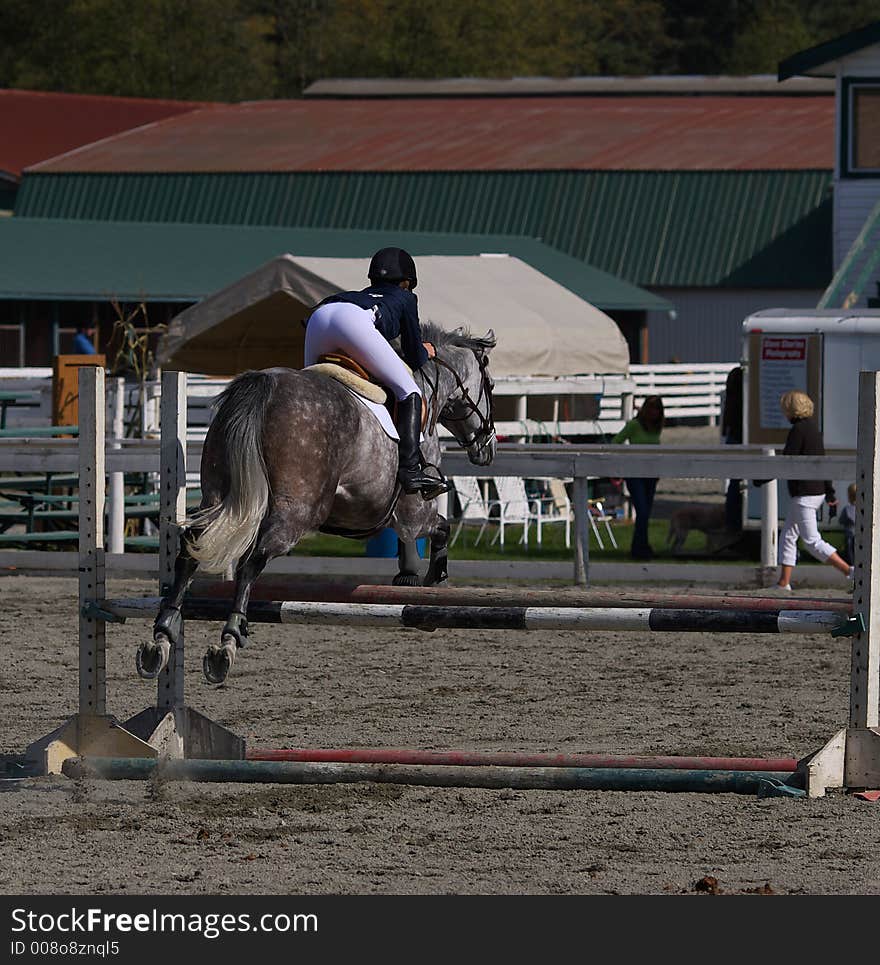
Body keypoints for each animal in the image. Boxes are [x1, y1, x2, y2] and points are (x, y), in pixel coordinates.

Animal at [137, 324, 496, 684]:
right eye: (490, 386)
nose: (487, 448)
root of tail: (264, 385)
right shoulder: (412, 516)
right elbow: (441, 528)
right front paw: (436, 583)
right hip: (296, 512)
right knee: (252, 560)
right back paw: (229, 640)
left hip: (217, 495)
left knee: (192, 546)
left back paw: (162, 634)